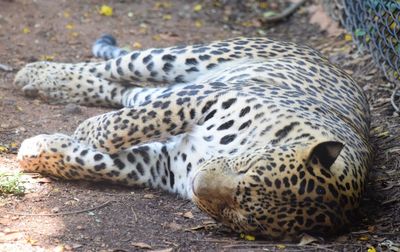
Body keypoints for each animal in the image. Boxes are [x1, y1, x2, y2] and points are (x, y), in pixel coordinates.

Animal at [14, 35, 372, 238]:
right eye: (248, 169)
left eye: (243, 217)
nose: (198, 183)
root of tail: (324, 57)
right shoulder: (206, 98)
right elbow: (125, 126)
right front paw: (85, 131)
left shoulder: (160, 165)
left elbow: (98, 162)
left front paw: (38, 149)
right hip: (183, 61)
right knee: (110, 69)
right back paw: (36, 74)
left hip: (160, 86)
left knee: (120, 89)